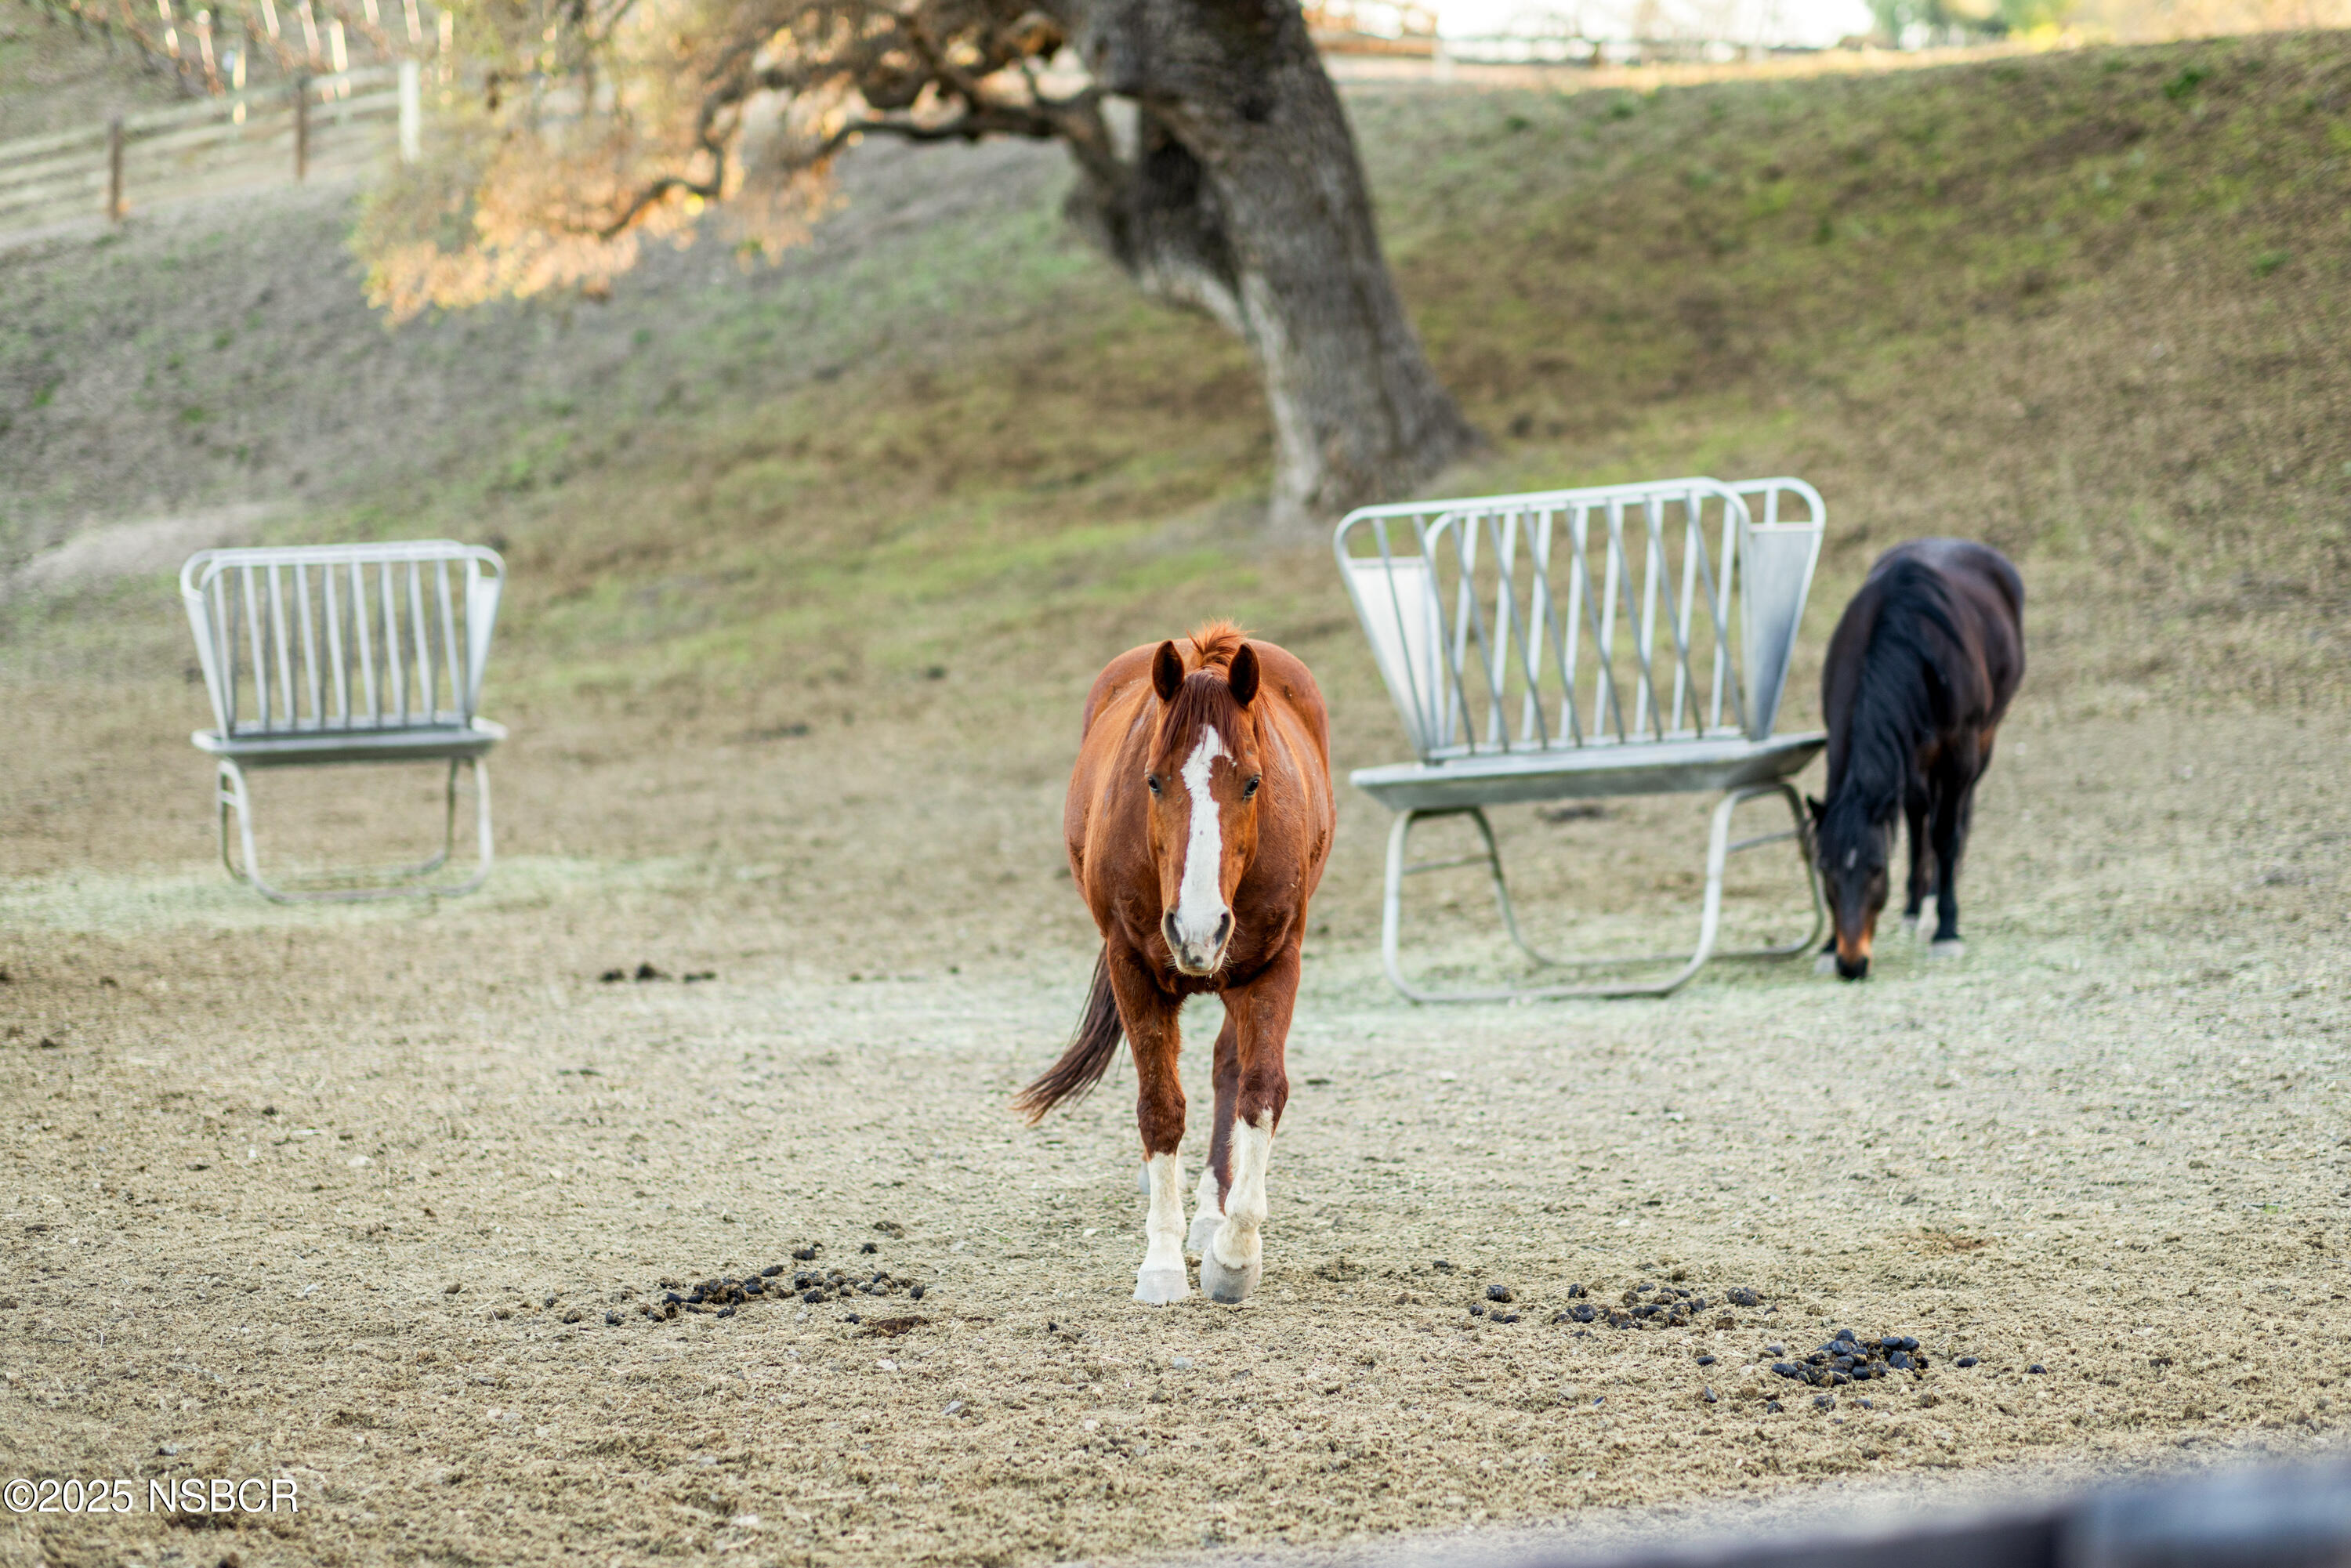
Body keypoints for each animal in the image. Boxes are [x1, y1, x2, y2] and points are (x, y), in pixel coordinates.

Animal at [1014, 622, 1334, 1305]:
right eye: (1154, 780)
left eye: (1253, 781)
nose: (1196, 927)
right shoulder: (1131, 966)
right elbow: (1160, 1107)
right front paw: (1160, 1263)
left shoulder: (1275, 966)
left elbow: (1260, 1090)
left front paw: (1234, 1255)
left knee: (1227, 1070)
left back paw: (1212, 1211)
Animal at [1809, 539, 2024, 980]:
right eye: (1824, 869)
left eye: (1877, 868)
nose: (1851, 964)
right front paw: (1826, 946)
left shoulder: (1960, 747)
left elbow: (1946, 834)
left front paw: (1947, 929)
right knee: (1918, 810)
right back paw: (1914, 905)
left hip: (1983, 740)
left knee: (1958, 813)